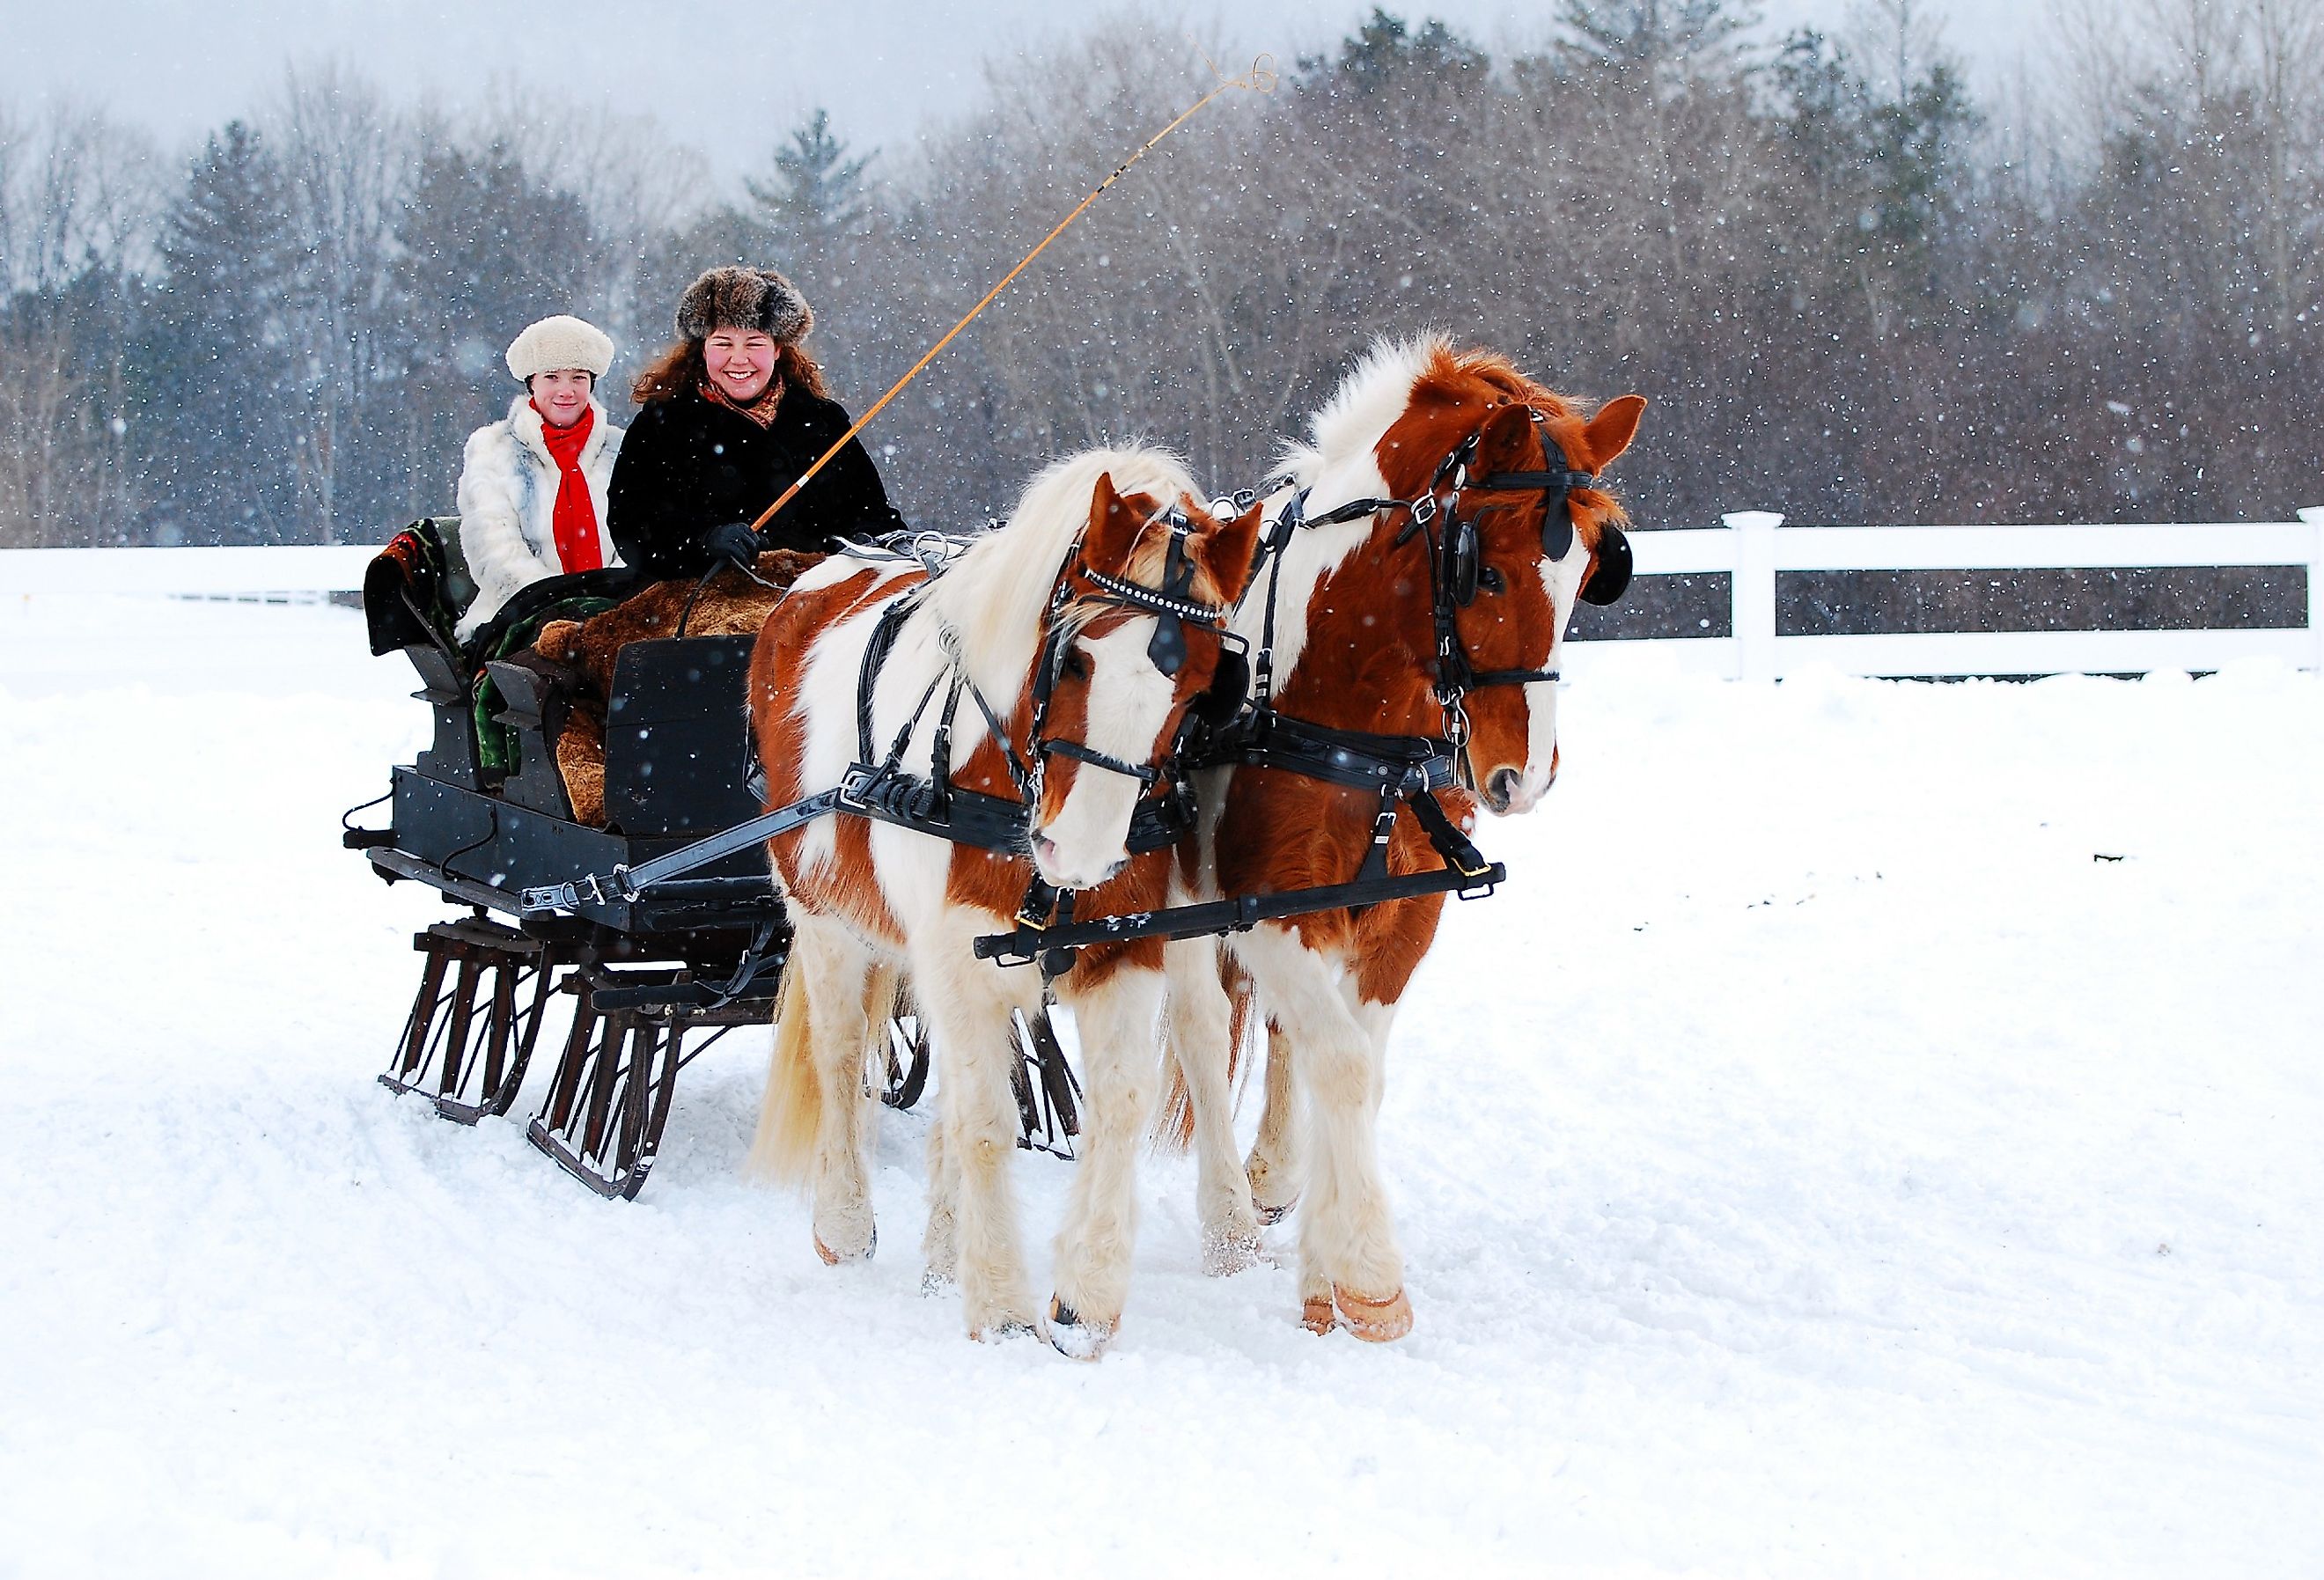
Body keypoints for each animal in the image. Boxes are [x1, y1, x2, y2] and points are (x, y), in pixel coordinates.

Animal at [748, 448, 1264, 1356]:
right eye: (1077, 657)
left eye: (1203, 682)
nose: (1081, 852)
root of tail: (817, 574)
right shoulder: (951, 954)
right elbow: (986, 1120)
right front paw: (1000, 1306)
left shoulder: (1125, 944)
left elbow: (1118, 1102)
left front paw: (1083, 1301)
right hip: (825, 917)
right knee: (842, 1055)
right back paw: (843, 1224)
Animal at [1162, 339, 1654, 1338]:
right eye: (1486, 570)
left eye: (1590, 574)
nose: (1524, 776)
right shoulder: (1266, 905)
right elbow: (1343, 1062)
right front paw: (1369, 1275)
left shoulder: (1400, 910)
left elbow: (1356, 1061)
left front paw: (1323, 1267)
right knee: (1199, 1024)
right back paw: (1229, 1223)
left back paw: (1273, 1176)